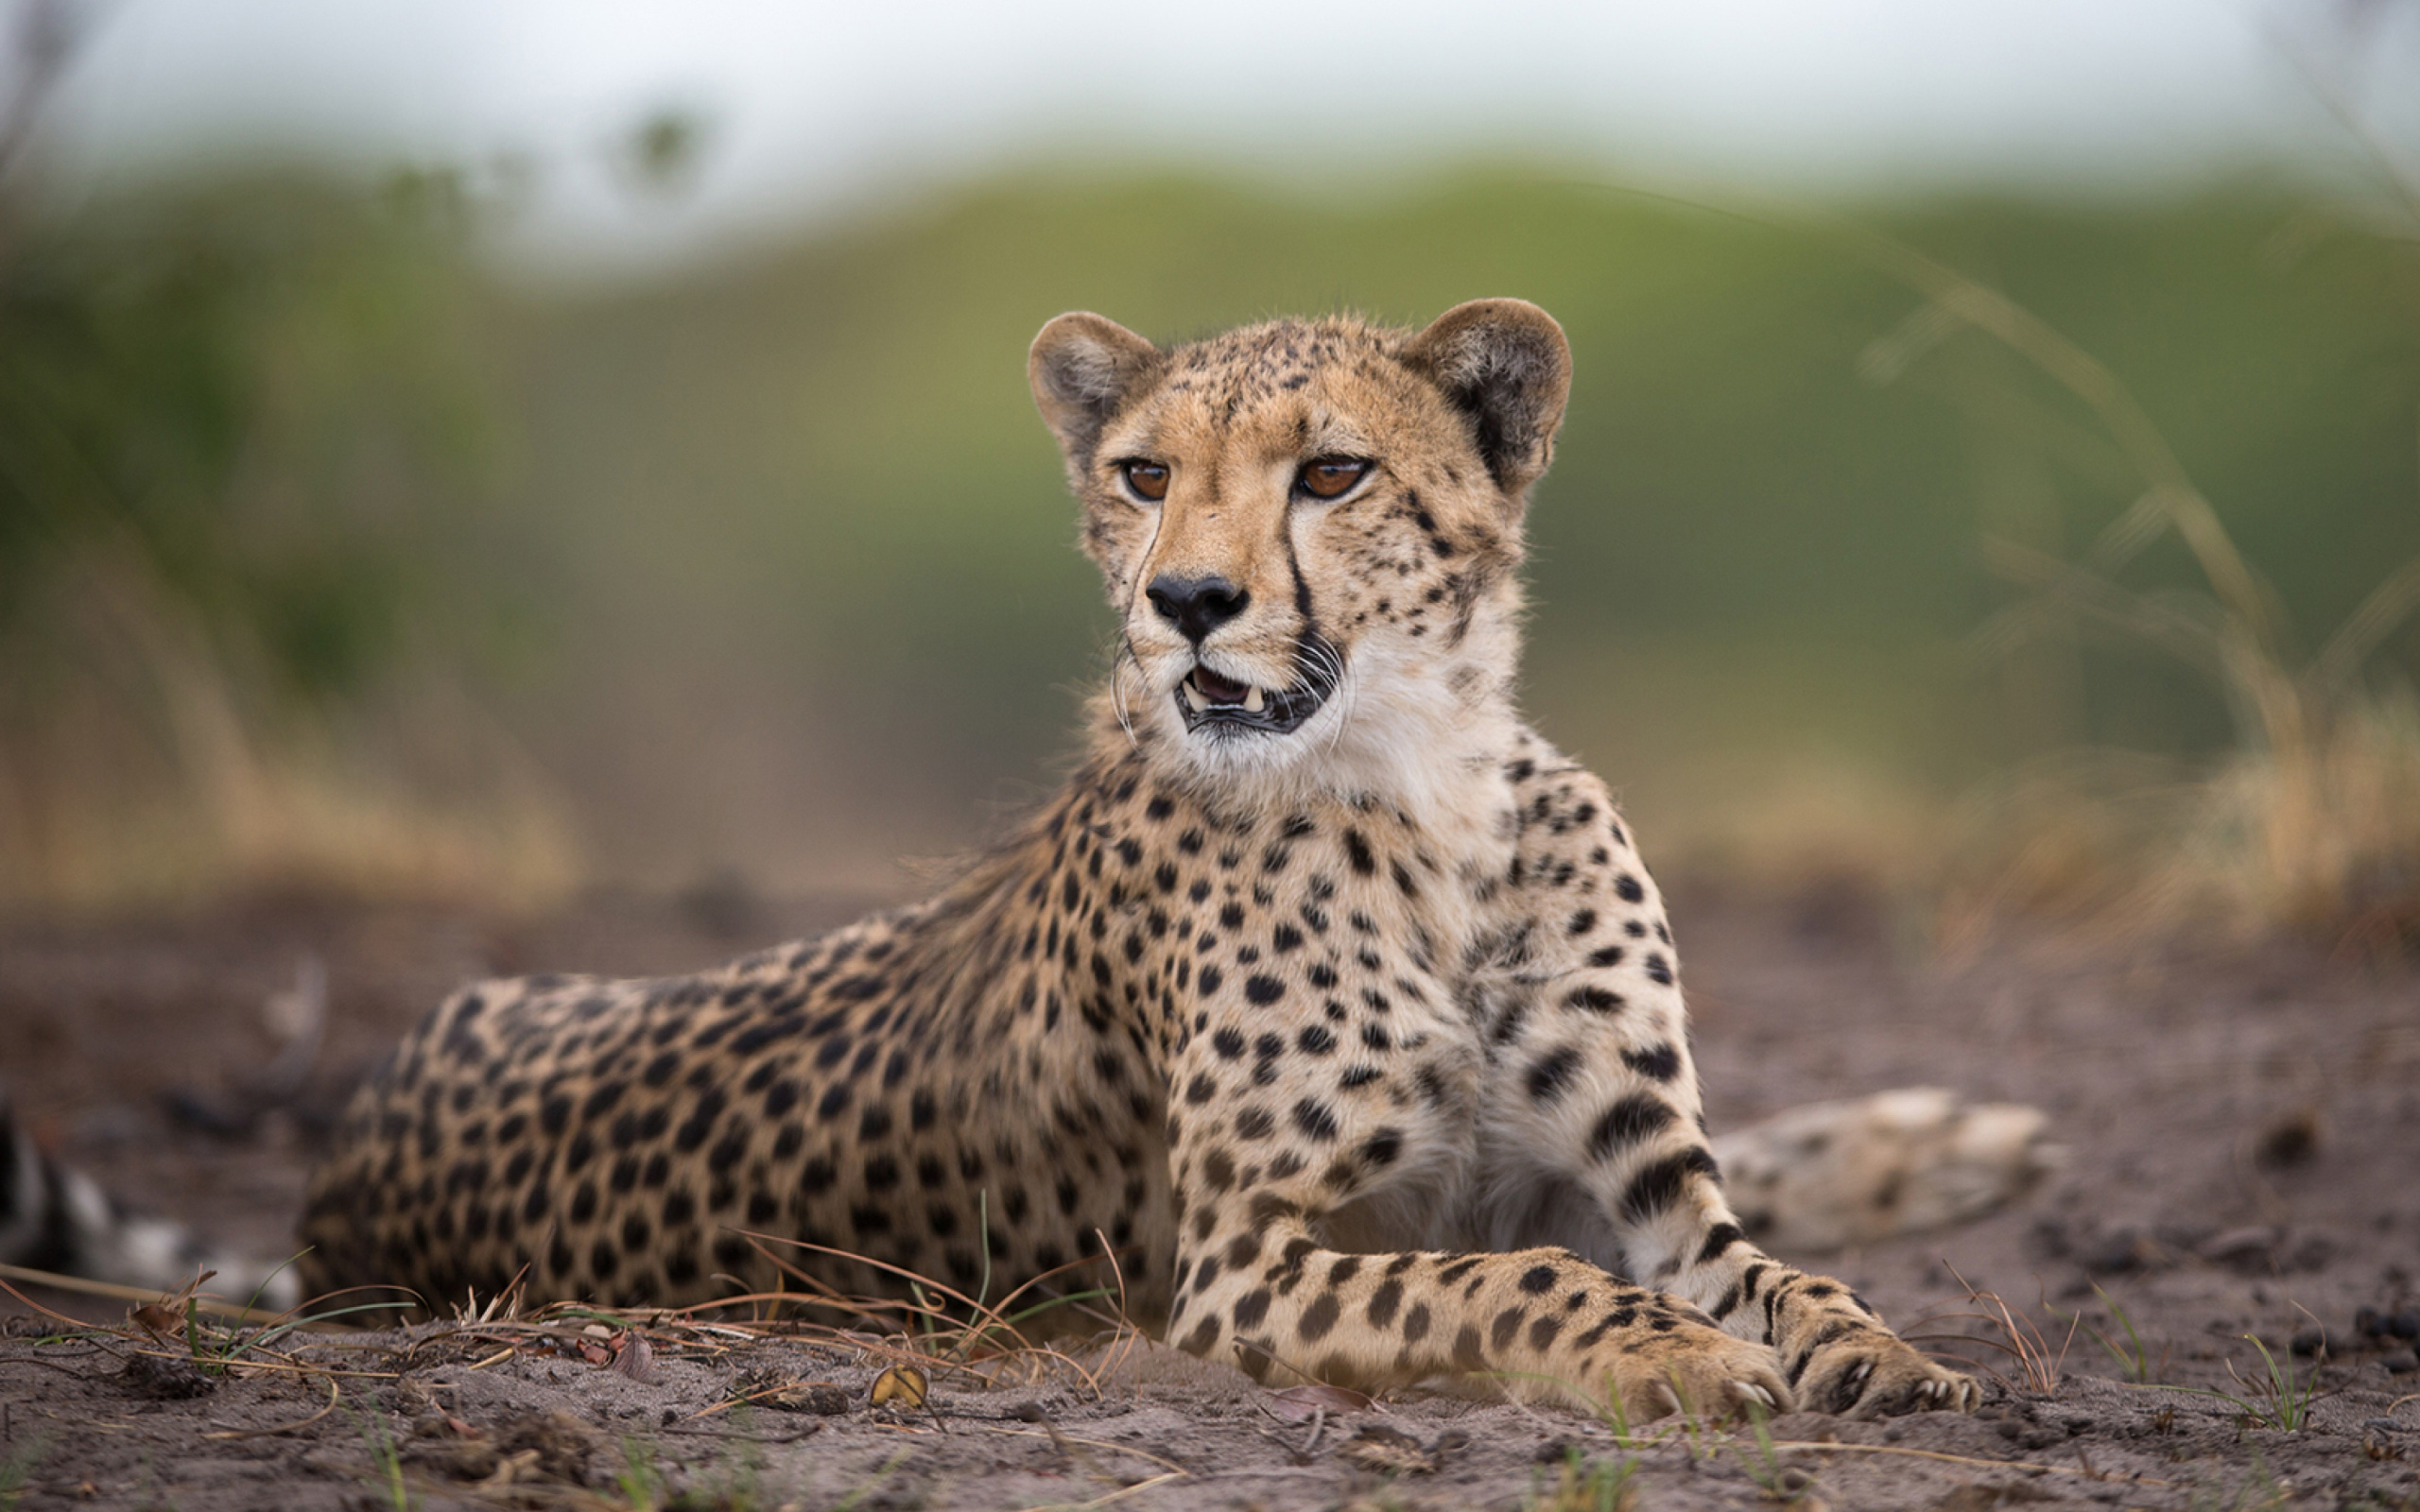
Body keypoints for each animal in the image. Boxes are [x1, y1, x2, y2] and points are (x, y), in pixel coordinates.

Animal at [278, 303, 2042, 1413]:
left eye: (1331, 472)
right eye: (1143, 475)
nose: (1187, 601)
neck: (1430, 797)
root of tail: (341, 1184)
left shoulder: (1650, 1185)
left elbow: (1787, 1278)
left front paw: (1888, 1355)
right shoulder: (1241, 1269)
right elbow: (1523, 1280)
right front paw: (1678, 1358)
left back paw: (1950, 1139)